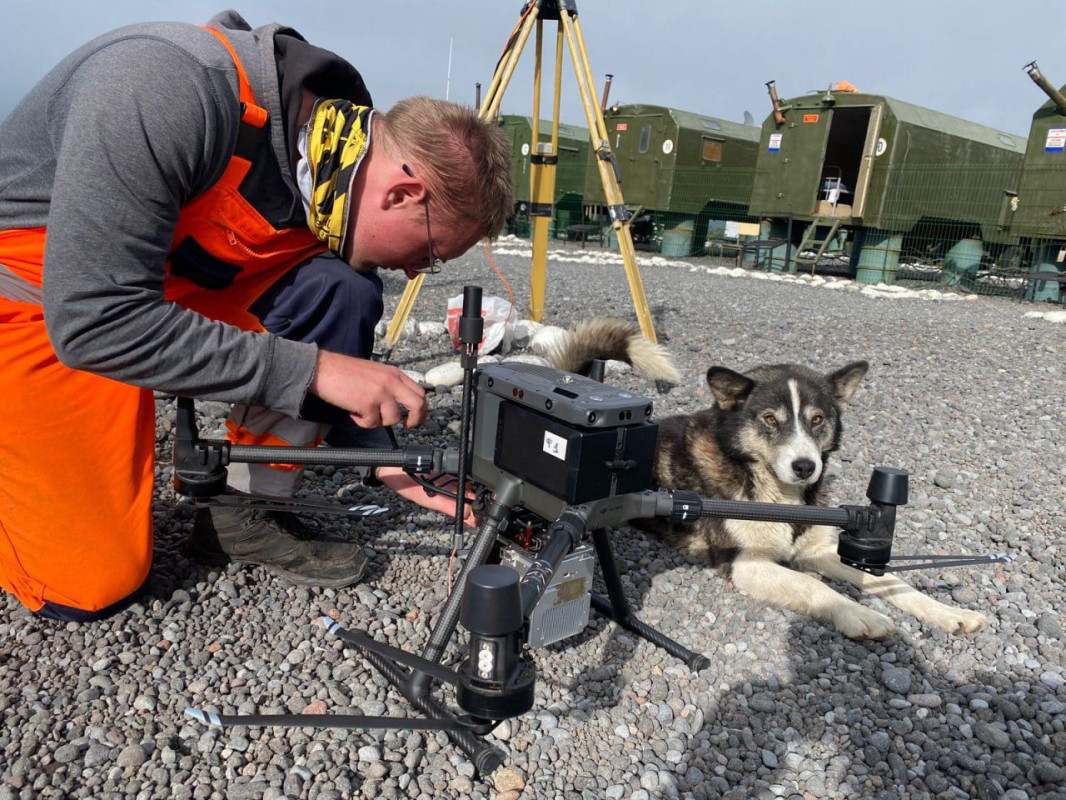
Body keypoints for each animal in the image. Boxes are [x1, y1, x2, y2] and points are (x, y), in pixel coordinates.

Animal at [554, 320, 984, 640]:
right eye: (770, 420)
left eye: (818, 419)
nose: (805, 466)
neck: (776, 492)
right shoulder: (745, 564)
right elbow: (815, 586)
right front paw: (860, 615)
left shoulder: (818, 551)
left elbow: (889, 580)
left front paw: (948, 612)